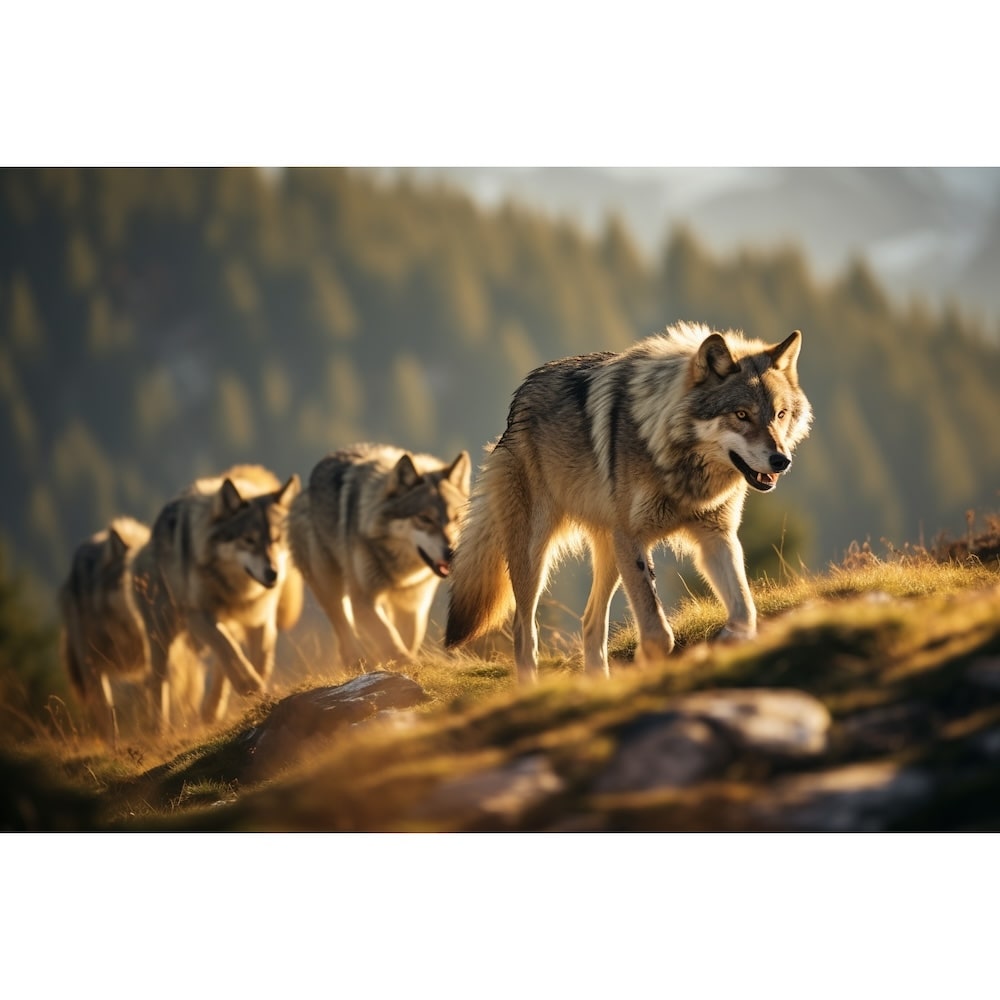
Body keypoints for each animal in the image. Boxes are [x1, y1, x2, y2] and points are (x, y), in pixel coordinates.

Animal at [130, 463, 302, 733]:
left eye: (276, 540)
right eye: (249, 540)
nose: (273, 573)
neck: (236, 591)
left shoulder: (260, 620)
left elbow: (258, 660)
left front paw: (255, 690)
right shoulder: (198, 615)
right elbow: (228, 649)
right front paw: (250, 685)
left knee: (223, 663)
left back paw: (212, 710)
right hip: (161, 633)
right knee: (158, 681)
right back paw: (159, 728)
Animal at [288, 443, 472, 671]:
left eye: (457, 518)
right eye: (424, 519)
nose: (451, 552)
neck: (401, 572)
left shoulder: (412, 606)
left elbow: (404, 638)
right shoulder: (363, 598)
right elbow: (388, 635)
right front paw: (406, 662)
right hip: (330, 585)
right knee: (342, 625)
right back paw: (355, 661)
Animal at [445, 322, 812, 682]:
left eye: (780, 414)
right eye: (741, 414)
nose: (781, 460)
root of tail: (518, 400)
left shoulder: (716, 537)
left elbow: (745, 612)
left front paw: (727, 642)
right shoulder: (633, 539)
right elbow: (658, 632)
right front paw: (649, 663)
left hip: (609, 552)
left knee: (589, 623)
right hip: (538, 555)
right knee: (525, 631)